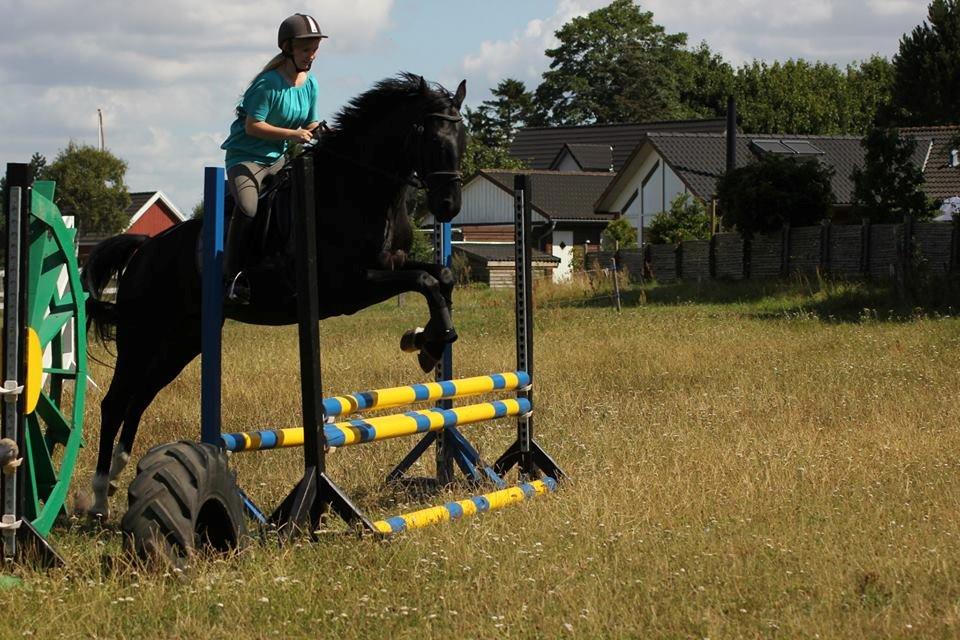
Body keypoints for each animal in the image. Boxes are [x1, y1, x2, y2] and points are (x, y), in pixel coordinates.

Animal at [84, 72, 466, 516]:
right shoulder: (349, 286)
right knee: (116, 401)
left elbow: (440, 275)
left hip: (182, 341)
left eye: (462, 135)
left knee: (140, 397)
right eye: (432, 137)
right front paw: (430, 343)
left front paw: (428, 341)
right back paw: (97, 496)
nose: (448, 205)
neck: (356, 189)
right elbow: (424, 282)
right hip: (142, 335)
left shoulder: (390, 266)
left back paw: (115, 476)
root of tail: (144, 249)